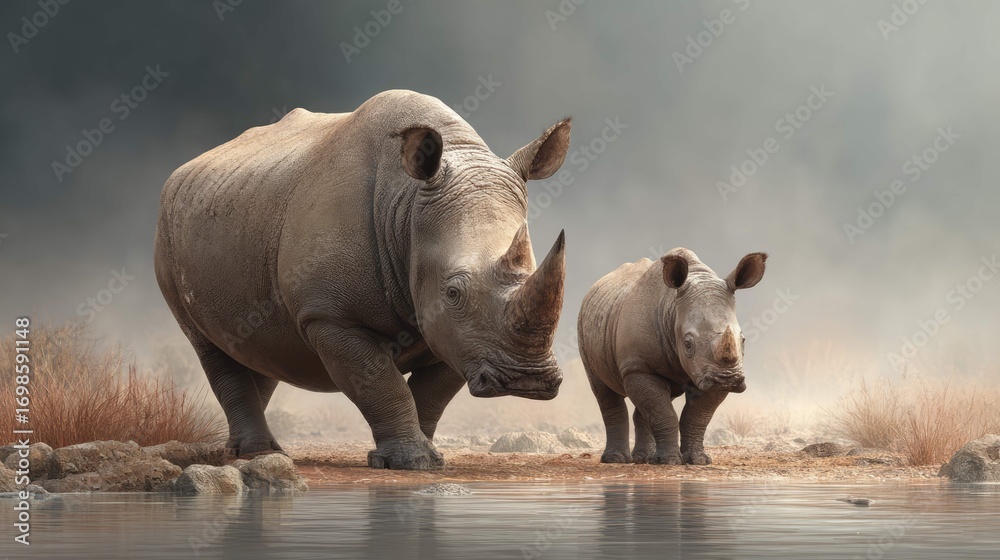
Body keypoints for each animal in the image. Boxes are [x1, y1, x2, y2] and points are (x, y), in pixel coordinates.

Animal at [154, 90, 571, 470]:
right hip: (167, 235)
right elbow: (381, 384)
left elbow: (429, 394)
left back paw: (258, 450)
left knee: (260, 343)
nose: (526, 380)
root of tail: (181, 172)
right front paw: (412, 461)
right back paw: (258, 454)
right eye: (453, 292)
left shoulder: (458, 334)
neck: (406, 207)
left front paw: (425, 456)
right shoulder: (332, 316)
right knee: (210, 347)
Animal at [577, 248, 766, 465]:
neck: (672, 309)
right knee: (604, 391)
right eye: (688, 344)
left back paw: (644, 458)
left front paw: (698, 460)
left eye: (743, 340)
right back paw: (616, 459)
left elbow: (696, 416)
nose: (727, 379)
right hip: (584, 325)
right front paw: (668, 461)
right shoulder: (638, 366)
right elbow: (664, 413)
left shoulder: (711, 372)